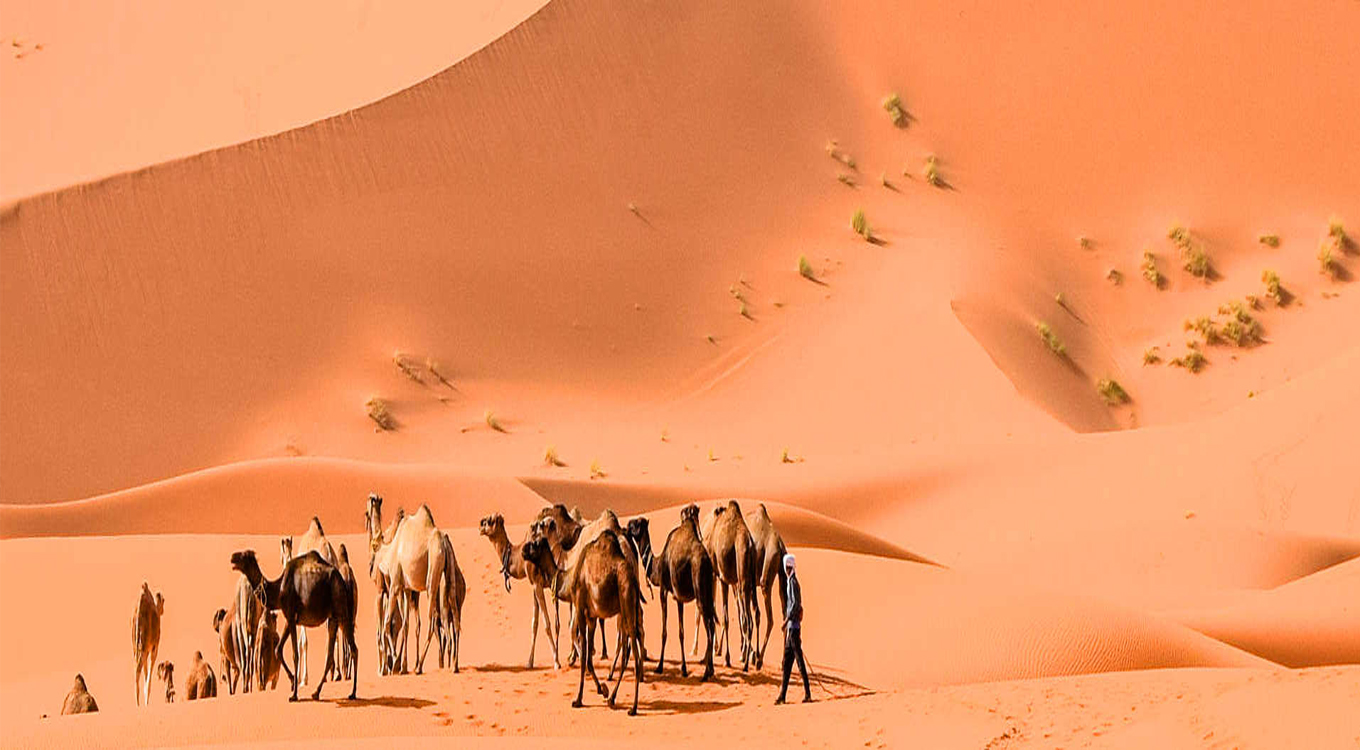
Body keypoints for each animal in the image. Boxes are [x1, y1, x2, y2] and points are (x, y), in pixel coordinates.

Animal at [230, 548, 358, 701]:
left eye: (243, 555)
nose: (232, 557)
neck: (278, 589)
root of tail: (343, 582)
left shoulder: (291, 616)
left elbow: (294, 654)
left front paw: (294, 695)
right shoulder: (289, 618)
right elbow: (278, 650)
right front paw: (292, 682)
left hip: (341, 609)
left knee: (353, 649)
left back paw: (352, 693)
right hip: (333, 617)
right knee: (331, 654)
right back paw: (316, 692)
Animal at [479, 513, 560, 669]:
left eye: (489, 521)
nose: (480, 525)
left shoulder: (538, 585)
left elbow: (547, 624)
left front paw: (557, 662)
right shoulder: (535, 585)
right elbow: (535, 624)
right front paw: (529, 662)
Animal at [626, 512, 716, 680]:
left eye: (637, 524)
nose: (627, 525)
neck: (657, 564)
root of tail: (707, 561)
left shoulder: (663, 589)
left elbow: (664, 631)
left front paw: (659, 666)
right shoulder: (678, 597)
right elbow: (681, 633)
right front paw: (684, 669)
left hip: (700, 589)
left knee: (709, 628)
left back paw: (707, 672)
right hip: (708, 591)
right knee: (712, 624)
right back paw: (710, 669)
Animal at [746, 503, 789, 670]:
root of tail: (780, 546)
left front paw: (749, 652)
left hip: (768, 567)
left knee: (770, 619)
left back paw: (759, 659)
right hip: (781, 573)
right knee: (785, 612)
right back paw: (783, 661)